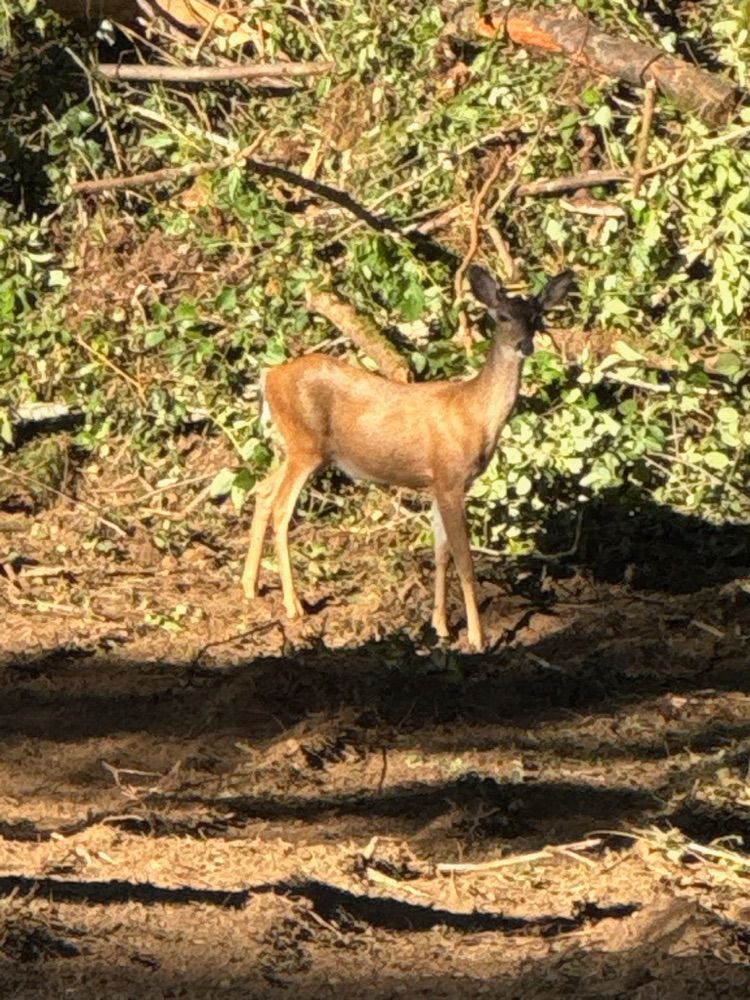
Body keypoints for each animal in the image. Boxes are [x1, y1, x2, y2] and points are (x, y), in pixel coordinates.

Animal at [241, 264, 574, 651]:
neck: (475, 413)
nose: (525, 345)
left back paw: (249, 586)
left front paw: (441, 625)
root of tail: (269, 376)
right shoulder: (450, 478)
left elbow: (440, 552)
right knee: (281, 508)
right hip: (304, 445)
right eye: (503, 316)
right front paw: (477, 637)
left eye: (537, 317)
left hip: (293, 448)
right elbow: (464, 560)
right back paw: (293, 605)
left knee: (263, 491)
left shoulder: (437, 483)